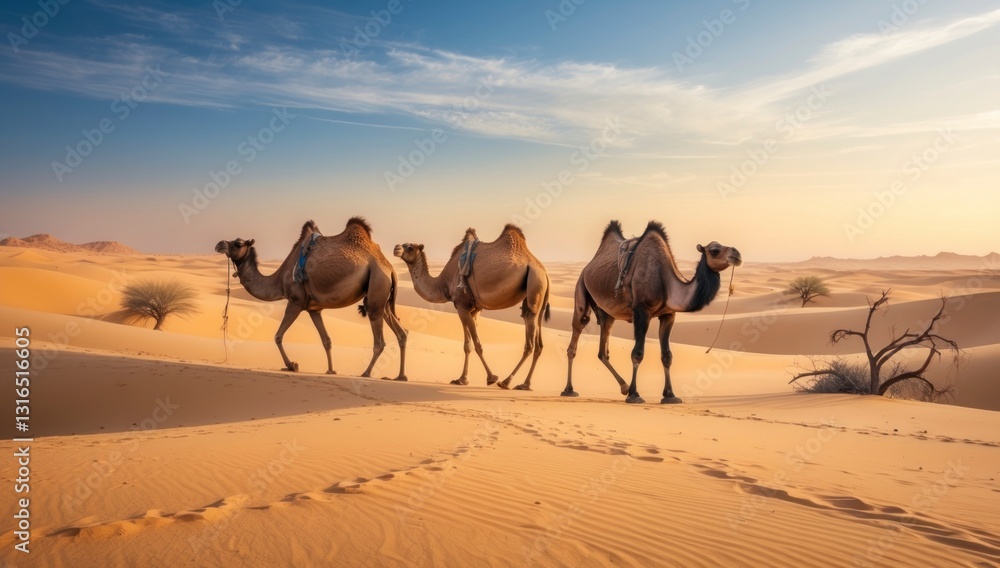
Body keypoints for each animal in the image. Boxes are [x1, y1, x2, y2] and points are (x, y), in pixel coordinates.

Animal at [215, 218, 407, 380]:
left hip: (377, 285)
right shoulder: (314, 309)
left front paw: (292, 365)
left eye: (238, 243)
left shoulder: (295, 301)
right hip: (383, 299)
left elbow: (278, 336)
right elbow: (326, 340)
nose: (219, 244)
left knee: (380, 341)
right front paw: (330, 370)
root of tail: (390, 269)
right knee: (401, 332)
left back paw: (366, 373)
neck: (279, 280)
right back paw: (400, 376)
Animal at [394, 224, 550, 390]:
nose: (396, 248)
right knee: (538, 341)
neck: (442, 284)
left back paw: (506, 381)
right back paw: (525, 384)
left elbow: (476, 343)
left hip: (535, 281)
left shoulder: (461, 305)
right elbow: (467, 345)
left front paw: (491, 377)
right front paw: (462, 379)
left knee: (530, 342)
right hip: (537, 293)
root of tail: (544, 272)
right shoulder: (471, 309)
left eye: (410, 247)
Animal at [563, 220, 741, 404]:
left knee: (602, 352)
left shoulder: (668, 315)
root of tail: (587, 267)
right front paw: (634, 394)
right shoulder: (642, 311)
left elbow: (667, 355)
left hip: (608, 314)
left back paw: (623, 387)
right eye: (714, 250)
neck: (666, 282)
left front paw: (670, 395)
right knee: (575, 338)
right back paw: (569, 390)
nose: (736, 253)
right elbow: (638, 353)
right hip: (581, 291)